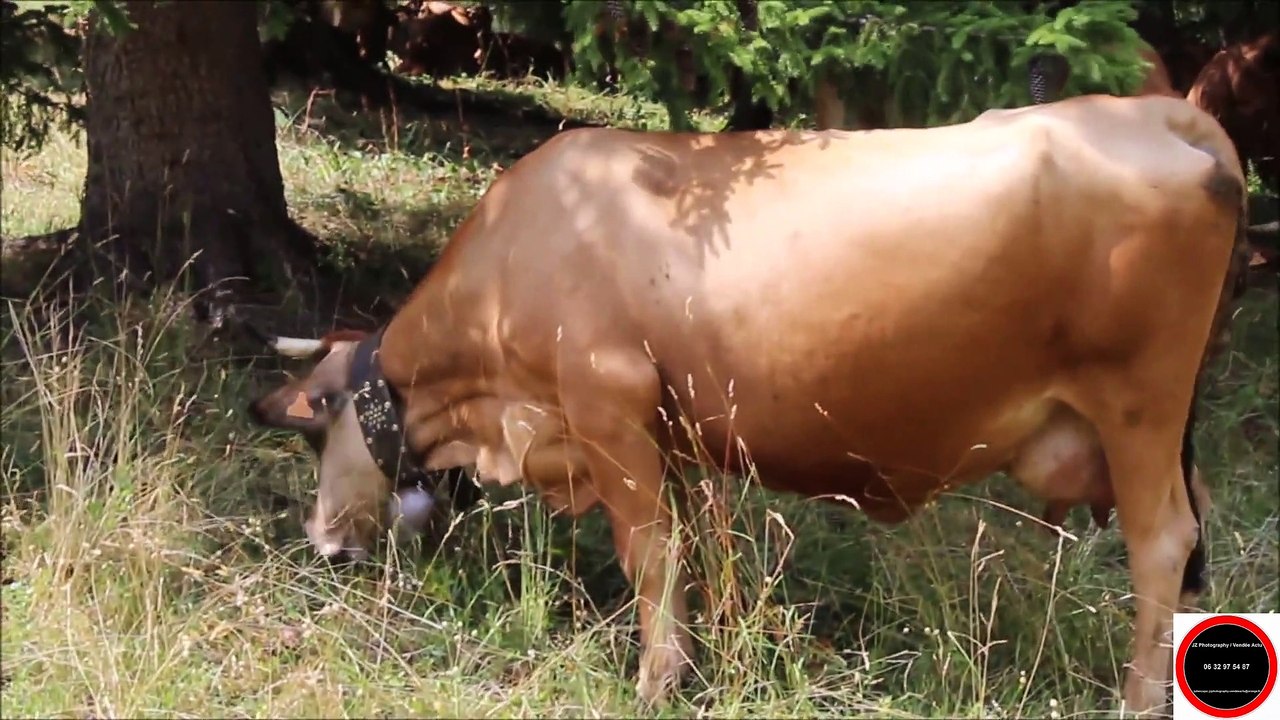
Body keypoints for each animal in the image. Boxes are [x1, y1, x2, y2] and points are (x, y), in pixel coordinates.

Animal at [246, 94, 1248, 716]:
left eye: (319, 425)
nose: (323, 543)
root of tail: (1154, 110)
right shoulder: (676, 431)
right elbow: (700, 550)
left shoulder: (608, 411)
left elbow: (650, 556)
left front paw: (655, 684)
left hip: (1139, 408)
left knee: (1162, 544)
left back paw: (1136, 700)